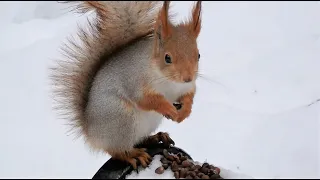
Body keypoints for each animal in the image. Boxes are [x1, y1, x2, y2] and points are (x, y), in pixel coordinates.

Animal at [51, 1, 202, 169]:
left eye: (198, 55)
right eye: (167, 58)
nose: (187, 78)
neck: (170, 82)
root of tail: (91, 132)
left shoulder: (187, 87)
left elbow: (189, 96)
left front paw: (185, 111)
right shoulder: (135, 82)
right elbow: (147, 100)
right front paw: (168, 109)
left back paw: (157, 137)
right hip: (122, 119)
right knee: (116, 150)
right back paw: (132, 155)